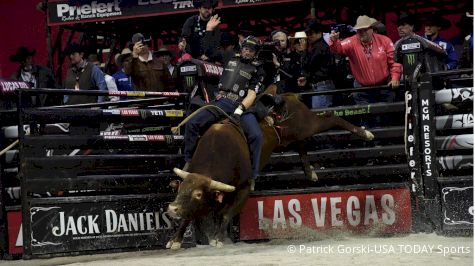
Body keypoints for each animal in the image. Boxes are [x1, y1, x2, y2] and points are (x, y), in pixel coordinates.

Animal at [165, 84, 374, 248]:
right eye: (181, 189)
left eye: (198, 194)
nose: (172, 208)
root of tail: (286, 96)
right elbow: (189, 215)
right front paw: (175, 239)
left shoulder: (243, 188)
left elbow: (226, 213)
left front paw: (217, 238)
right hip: (291, 135)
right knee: (301, 143)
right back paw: (310, 172)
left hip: (306, 124)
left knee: (331, 117)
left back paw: (365, 133)